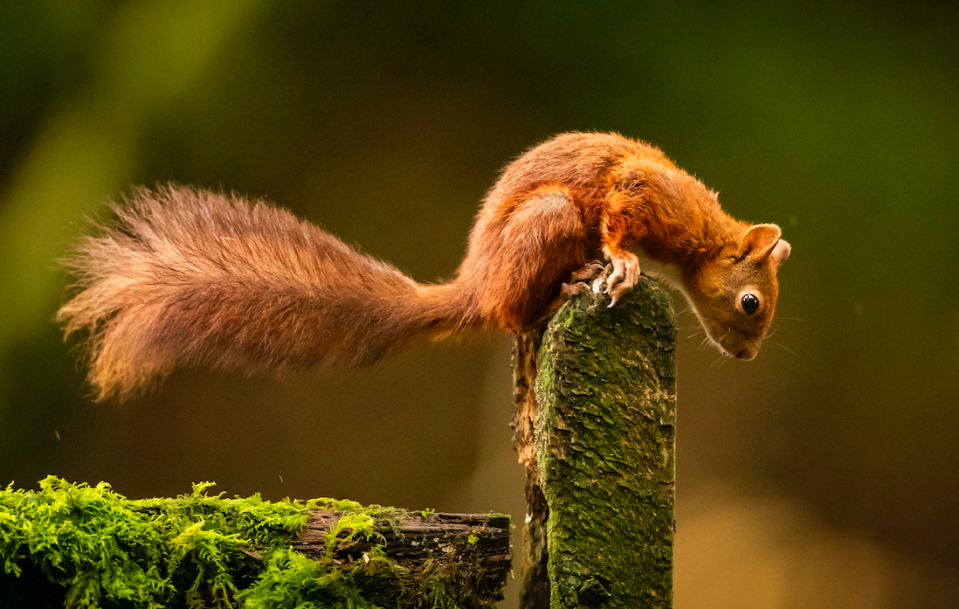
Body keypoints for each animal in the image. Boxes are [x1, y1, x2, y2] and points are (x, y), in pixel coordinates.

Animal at [60, 132, 792, 400]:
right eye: (751, 303)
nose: (747, 357)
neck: (701, 235)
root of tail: (472, 286)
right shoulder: (640, 192)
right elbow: (618, 221)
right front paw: (621, 263)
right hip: (550, 219)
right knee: (514, 312)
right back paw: (572, 281)